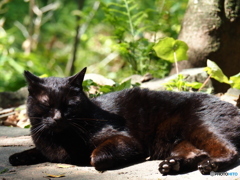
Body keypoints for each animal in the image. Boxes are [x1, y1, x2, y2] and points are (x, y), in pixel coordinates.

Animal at [9, 67, 240, 174]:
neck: (58, 138)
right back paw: (171, 165)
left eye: (68, 105)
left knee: (229, 151)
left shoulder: (126, 140)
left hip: (199, 125)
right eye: (47, 104)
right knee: (196, 153)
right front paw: (19, 156)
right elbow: (34, 152)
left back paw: (210, 165)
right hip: (177, 141)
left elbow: (95, 157)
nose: (58, 118)